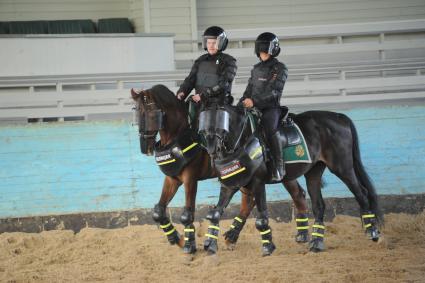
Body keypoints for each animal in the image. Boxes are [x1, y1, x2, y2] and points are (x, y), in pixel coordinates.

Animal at [129, 85, 308, 258]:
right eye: (136, 114)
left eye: (150, 115)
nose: (145, 147)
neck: (181, 133)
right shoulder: (172, 178)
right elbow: (158, 211)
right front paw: (177, 239)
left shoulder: (190, 178)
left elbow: (187, 214)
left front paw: (189, 246)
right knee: (279, 197)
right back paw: (233, 238)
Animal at [200, 100, 382, 255]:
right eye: (202, 121)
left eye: (221, 119)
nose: (212, 147)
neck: (244, 137)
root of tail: (339, 116)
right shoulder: (231, 184)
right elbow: (216, 213)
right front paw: (211, 245)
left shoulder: (258, 183)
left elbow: (260, 219)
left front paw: (268, 247)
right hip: (314, 172)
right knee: (318, 205)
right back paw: (316, 243)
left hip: (343, 167)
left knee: (362, 194)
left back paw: (372, 231)